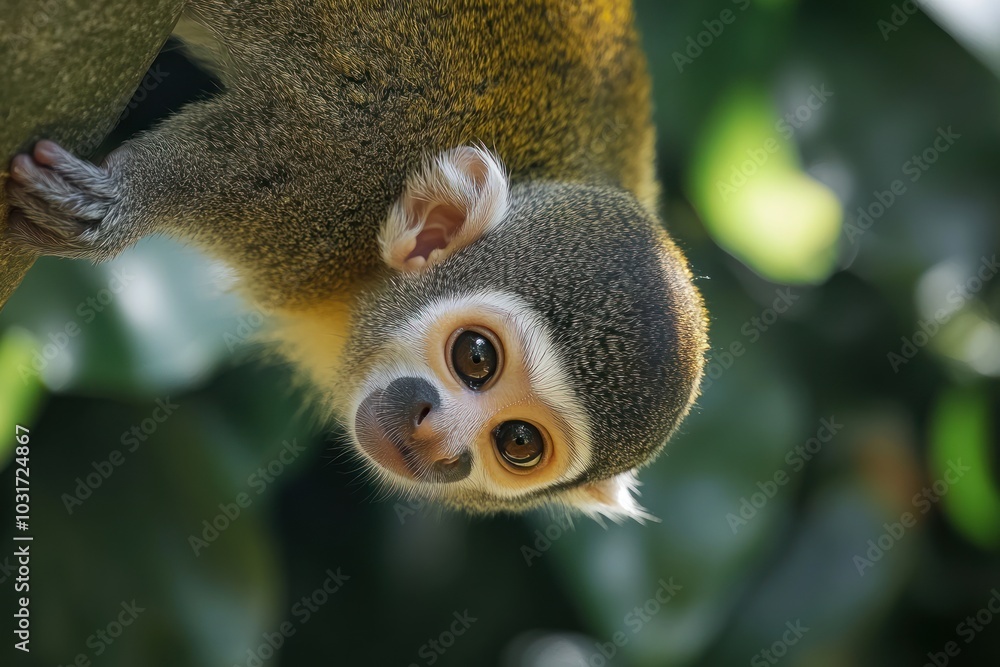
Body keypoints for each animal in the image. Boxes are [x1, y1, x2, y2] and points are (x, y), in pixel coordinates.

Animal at [4, 0, 708, 522]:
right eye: (476, 357)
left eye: (518, 444)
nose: (440, 444)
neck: (354, 285)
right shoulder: (340, 188)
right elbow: (297, 132)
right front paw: (124, 204)